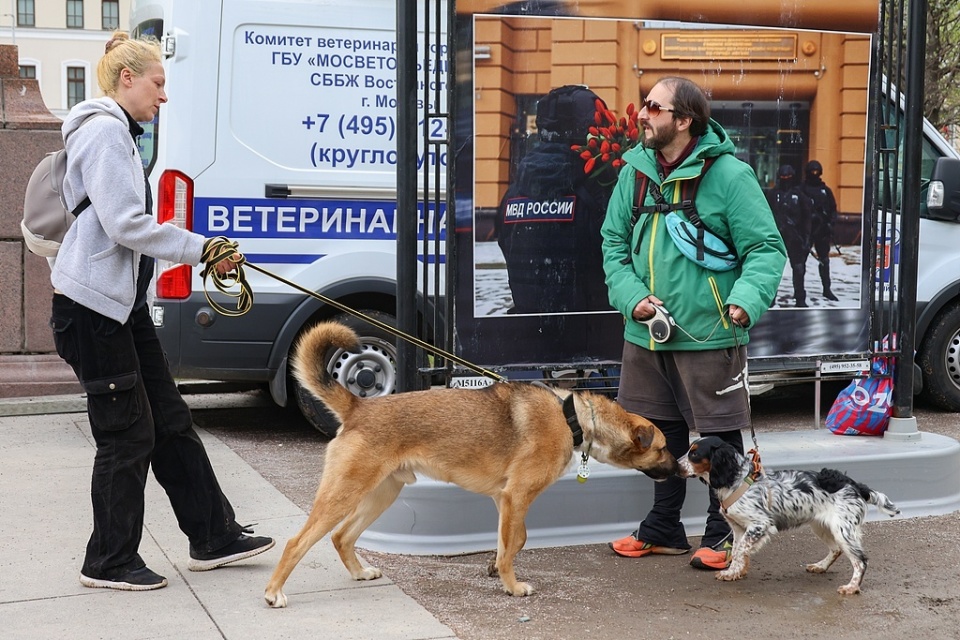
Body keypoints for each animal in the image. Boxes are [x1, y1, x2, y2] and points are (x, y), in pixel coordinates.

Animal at [264, 322, 676, 608]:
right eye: (663, 448)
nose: (680, 467)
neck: (572, 417)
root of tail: (359, 407)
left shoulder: (503, 499)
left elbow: (513, 539)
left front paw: (497, 566)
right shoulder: (516, 497)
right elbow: (513, 543)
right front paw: (512, 585)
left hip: (381, 495)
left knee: (341, 537)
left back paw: (358, 572)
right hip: (344, 495)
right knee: (298, 542)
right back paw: (274, 592)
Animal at [680, 436, 896, 596]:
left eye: (695, 453)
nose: (676, 466)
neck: (736, 479)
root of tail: (855, 485)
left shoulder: (760, 524)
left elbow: (740, 551)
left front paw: (733, 572)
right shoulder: (739, 528)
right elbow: (737, 551)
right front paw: (735, 572)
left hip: (842, 530)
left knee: (860, 560)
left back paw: (852, 587)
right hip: (822, 526)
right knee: (836, 550)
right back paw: (820, 566)